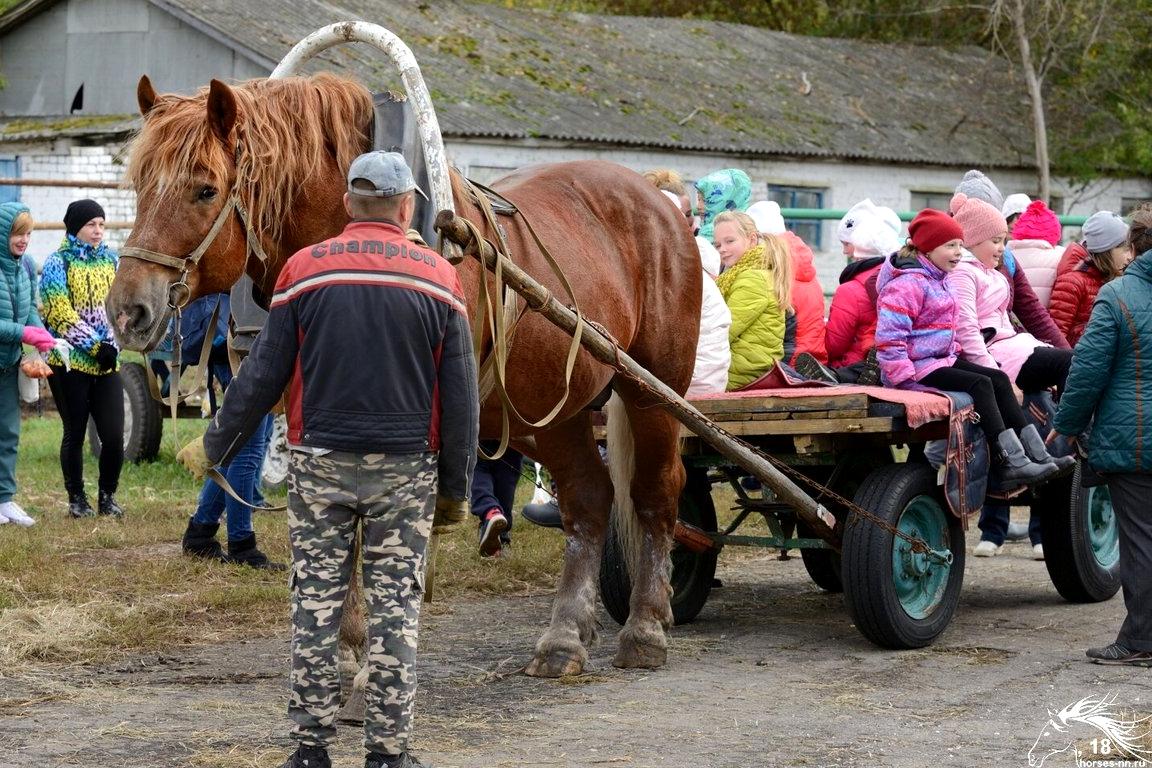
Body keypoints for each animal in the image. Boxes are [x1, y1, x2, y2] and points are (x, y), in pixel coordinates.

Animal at [105, 74, 700, 681]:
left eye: (205, 190)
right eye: (139, 184)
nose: (127, 311)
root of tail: (655, 196)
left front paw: (367, 653)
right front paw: (343, 649)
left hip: (652, 392)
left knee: (656, 492)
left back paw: (645, 627)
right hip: (550, 409)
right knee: (588, 498)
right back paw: (564, 637)